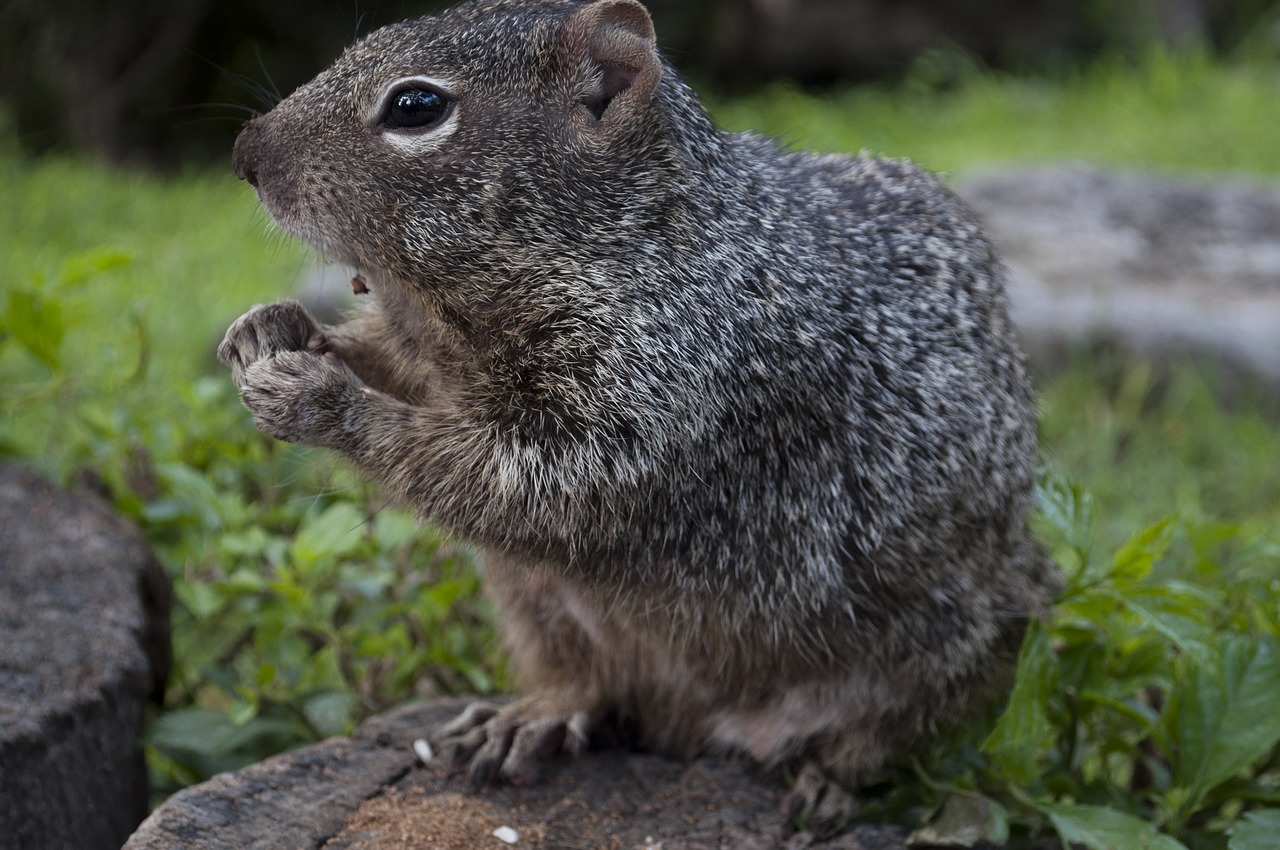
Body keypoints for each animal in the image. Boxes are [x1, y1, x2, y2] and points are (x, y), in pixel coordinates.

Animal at [220, 0, 1059, 829]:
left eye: (416, 106)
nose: (243, 152)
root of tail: (689, 722)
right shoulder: (429, 358)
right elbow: (396, 371)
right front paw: (274, 328)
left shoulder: (641, 411)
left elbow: (510, 480)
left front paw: (318, 396)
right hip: (535, 605)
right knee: (586, 683)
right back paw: (529, 716)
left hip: (951, 649)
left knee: (903, 728)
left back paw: (832, 776)